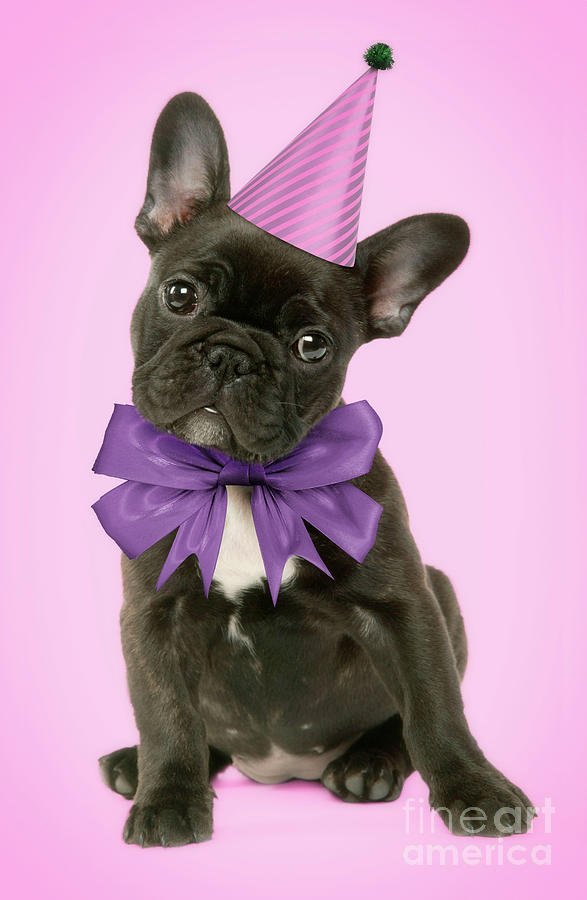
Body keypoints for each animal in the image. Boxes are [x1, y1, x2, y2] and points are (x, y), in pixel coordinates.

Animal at [99, 95, 536, 848]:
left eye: (311, 346)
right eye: (179, 295)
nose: (232, 354)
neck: (240, 481)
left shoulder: (404, 608)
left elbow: (435, 708)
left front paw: (476, 789)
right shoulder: (153, 615)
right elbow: (166, 715)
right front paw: (167, 798)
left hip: (443, 592)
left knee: (399, 724)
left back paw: (370, 764)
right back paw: (136, 766)